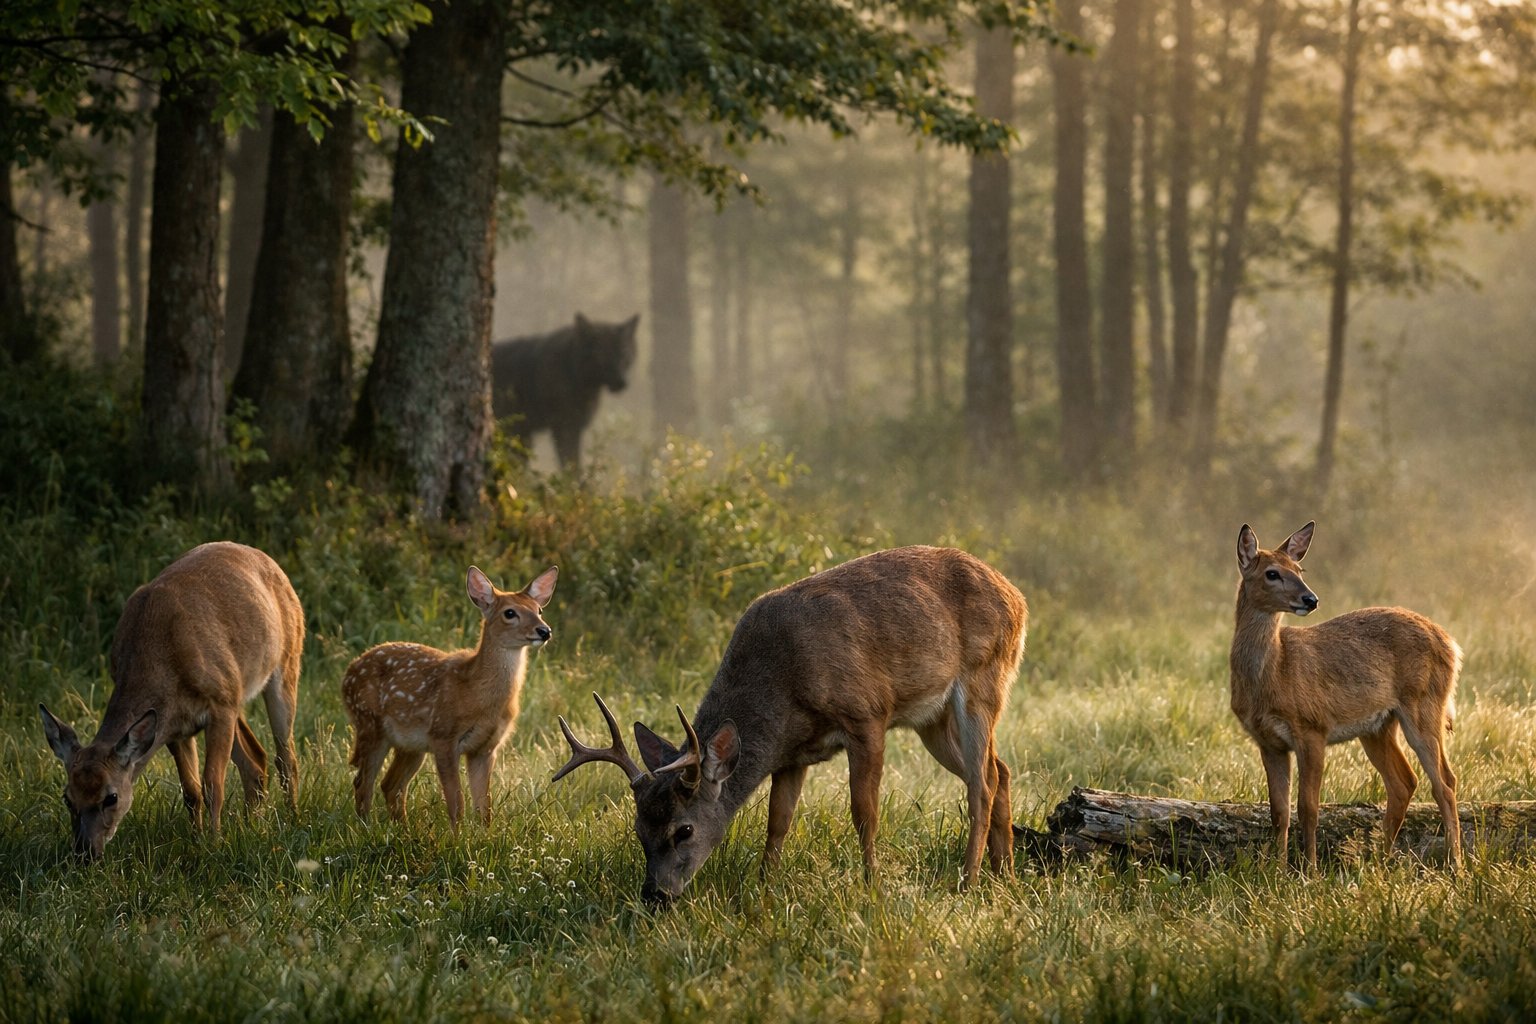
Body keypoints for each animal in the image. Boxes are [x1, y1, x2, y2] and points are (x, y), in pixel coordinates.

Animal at [37, 541, 304, 861]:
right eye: (67, 797)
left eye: (111, 797)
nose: (85, 853)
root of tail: (266, 559)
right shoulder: (173, 725)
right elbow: (191, 791)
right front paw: (198, 840)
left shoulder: (219, 706)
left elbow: (212, 785)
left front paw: (214, 845)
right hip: (236, 692)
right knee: (256, 758)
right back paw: (254, 825)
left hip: (285, 664)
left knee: (285, 756)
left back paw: (293, 820)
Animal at [343, 565, 557, 828]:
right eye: (509, 612)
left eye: (539, 610)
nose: (544, 630)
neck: (476, 695)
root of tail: (348, 672)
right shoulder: (443, 736)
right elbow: (457, 803)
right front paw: (457, 836)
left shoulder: (485, 747)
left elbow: (484, 808)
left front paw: (483, 835)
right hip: (370, 725)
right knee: (363, 782)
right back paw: (365, 828)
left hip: (410, 744)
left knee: (390, 785)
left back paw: (403, 829)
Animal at [554, 545, 1028, 905]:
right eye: (638, 829)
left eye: (683, 830)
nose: (656, 895)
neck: (783, 682)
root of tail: (1017, 597)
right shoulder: (790, 754)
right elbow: (778, 821)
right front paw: (764, 886)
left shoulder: (868, 715)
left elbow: (864, 813)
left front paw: (872, 884)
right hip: (931, 720)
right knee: (999, 770)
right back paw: (1004, 874)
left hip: (982, 682)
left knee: (980, 784)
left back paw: (968, 880)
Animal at [1231, 522, 1463, 870]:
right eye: (1272, 573)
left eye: (1299, 569)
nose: (1311, 599)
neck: (1276, 672)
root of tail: (1451, 643)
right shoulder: (1269, 742)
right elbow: (1279, 812)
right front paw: (1277, 871)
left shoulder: (1313, 728)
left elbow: (1308, 808)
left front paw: (1310, 872)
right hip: (1378, 727)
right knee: (1404, 783)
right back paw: (1380, 861)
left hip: (1424, 706)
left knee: (1445, 783)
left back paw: (1455, 865)